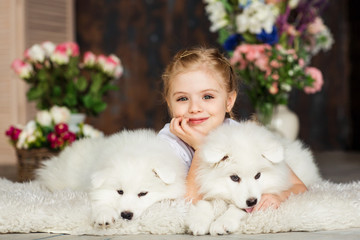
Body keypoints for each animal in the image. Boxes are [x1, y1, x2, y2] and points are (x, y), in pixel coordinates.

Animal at [36, 128, 187, 226]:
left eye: (143, 193)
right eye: (120, 191)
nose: (126, 215)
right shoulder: (97, 188)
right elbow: (102, 201)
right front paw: (104, 216)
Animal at [186, 121, 320, 235]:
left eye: (258, 175)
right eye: (234, 178)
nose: (252, 201)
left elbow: (237, 208)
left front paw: (223, 223)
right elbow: (206, 202)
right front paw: (199, 221)